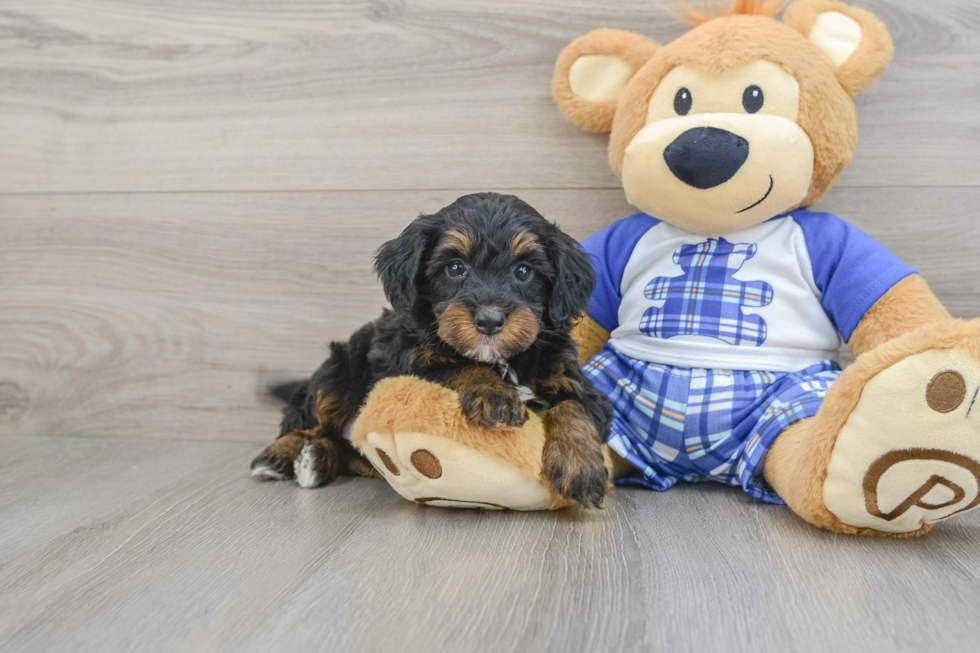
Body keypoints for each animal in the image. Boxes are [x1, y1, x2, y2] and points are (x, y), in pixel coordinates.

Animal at [249, 191, 608, 506]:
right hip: (338, 370)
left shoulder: (571, 376)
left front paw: (581, 466)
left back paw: (315, 458)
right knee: (305, 420)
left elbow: (575, 407)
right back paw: (279, 455)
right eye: (455, 268)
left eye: (524, 271)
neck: (502, 359)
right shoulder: (410, 363)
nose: (489, 321)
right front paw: (495, 394)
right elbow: (460, 365)